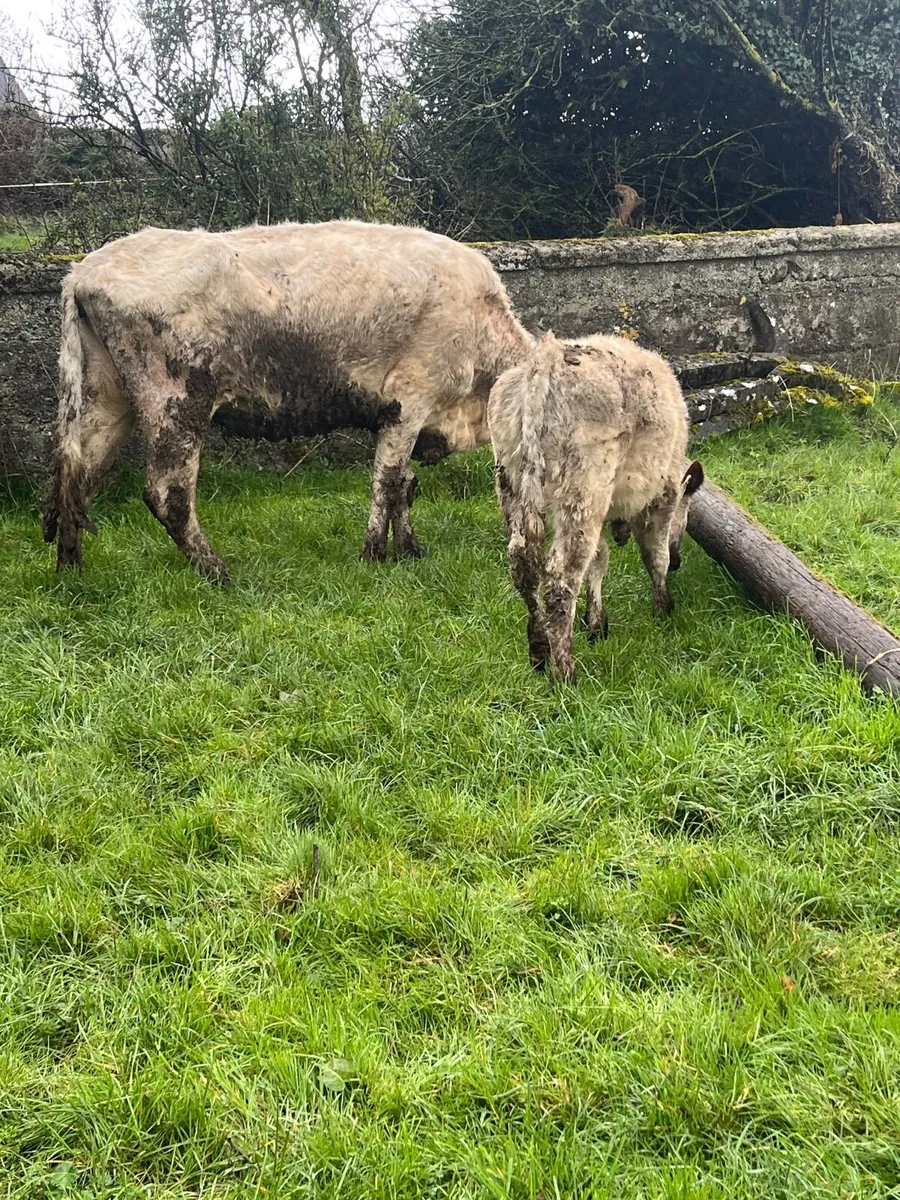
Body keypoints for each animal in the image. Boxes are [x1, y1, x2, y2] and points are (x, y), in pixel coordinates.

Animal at [42, 219, 532, 581]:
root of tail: (83, 270)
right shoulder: (409, 402)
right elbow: (389, 483)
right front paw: (374, 556)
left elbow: (406, 487)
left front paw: (409, 550)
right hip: (176, 400)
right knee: (167, 494)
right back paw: (219, 573)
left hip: (107, 399)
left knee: (77, 480)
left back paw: (72, 571)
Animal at [489, 331, 704, 681]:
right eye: (686, 519)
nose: (679, 562)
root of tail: (546, 358)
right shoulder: (664, 494)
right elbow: (654, 554)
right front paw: (663, 607)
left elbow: (599, 560)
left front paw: (596, 623)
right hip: (584, 487)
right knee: (560, 577)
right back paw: (565, 674)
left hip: (512, 481)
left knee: (523, 566)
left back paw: (539, 650)